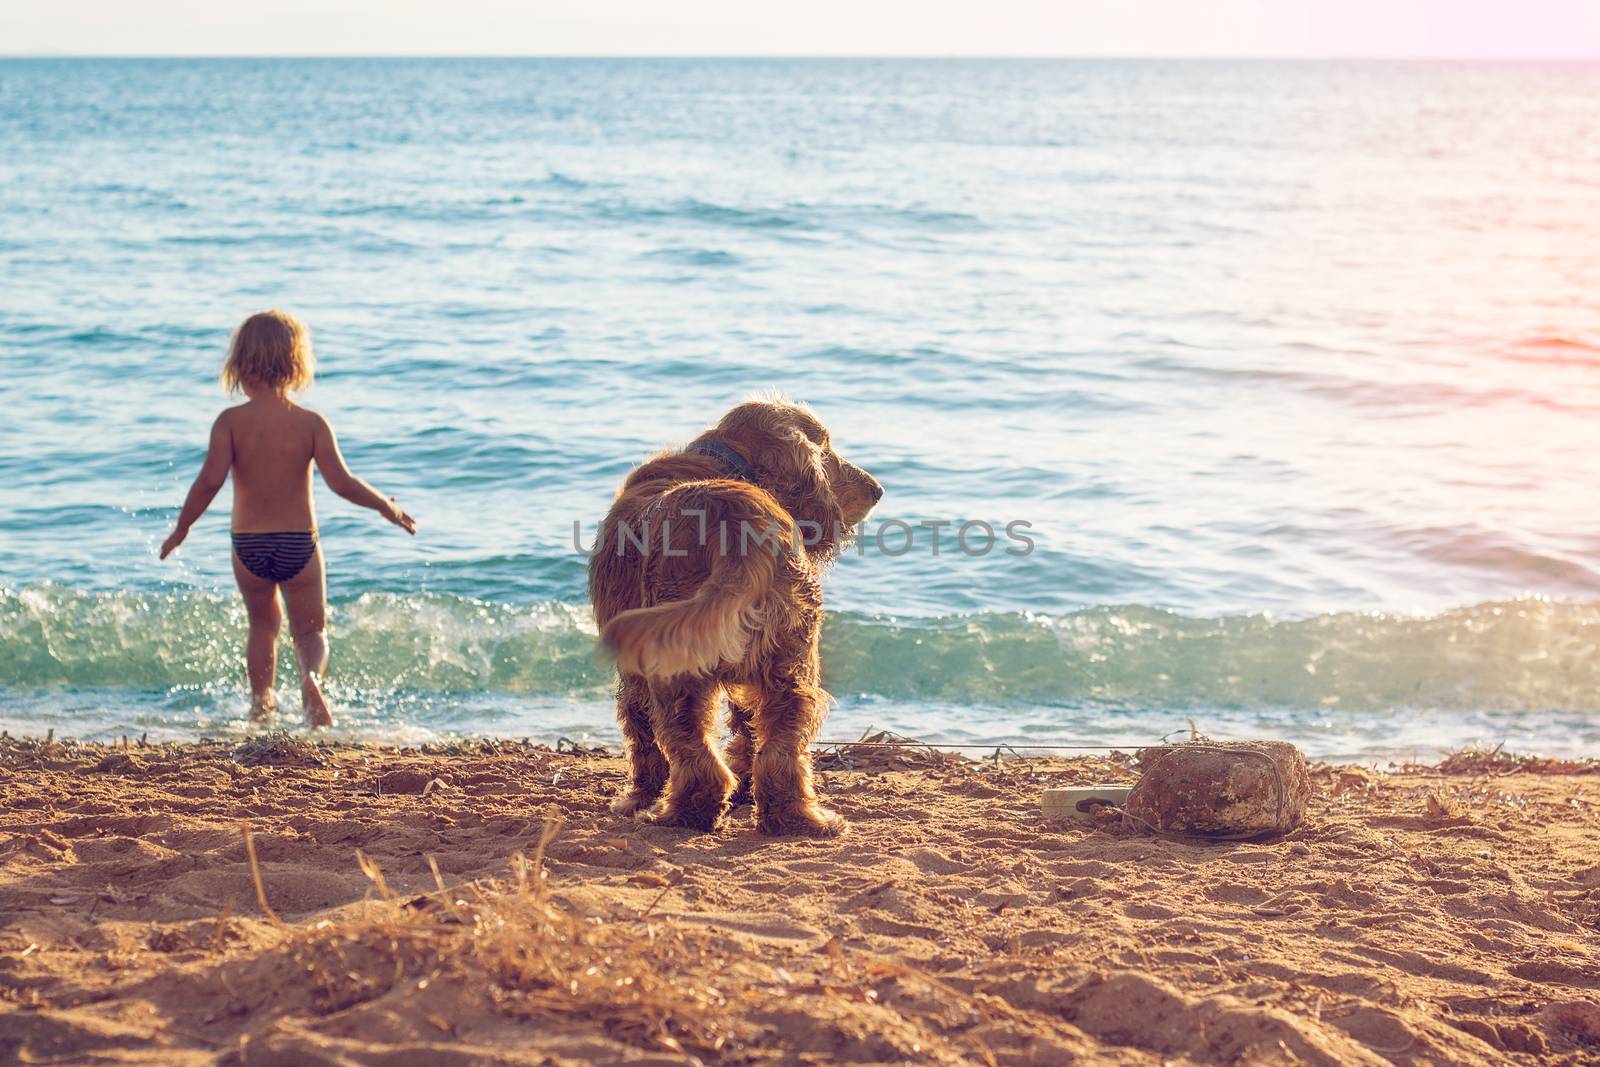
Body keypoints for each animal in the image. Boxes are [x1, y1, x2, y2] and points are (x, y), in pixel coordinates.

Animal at [592, 398, 889, 831]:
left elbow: (641, 735)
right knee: (781, 749)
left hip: (674, 665)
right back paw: (795, 818)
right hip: (791, 663)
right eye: (826, 448)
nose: (877, 490)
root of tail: (735, 524)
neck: (722, 462)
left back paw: (679, 813)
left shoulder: (631, 673)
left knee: (693, 753)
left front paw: (638, 797)